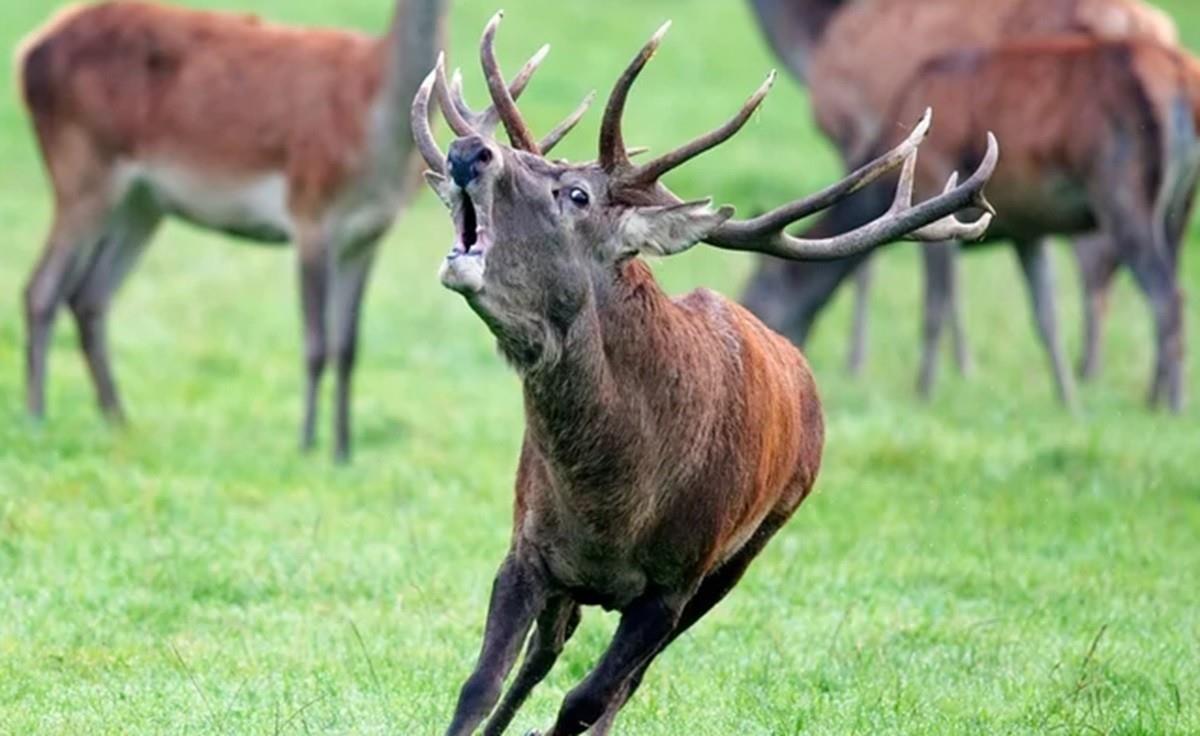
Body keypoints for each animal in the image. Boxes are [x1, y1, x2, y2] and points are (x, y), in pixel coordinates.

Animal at [17, 0, 530, 458]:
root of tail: (29, 51)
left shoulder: (367, 235)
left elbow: (348, 347)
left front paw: (343, 449)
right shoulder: (310, 213)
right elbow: (316, 344)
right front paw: (307, 443)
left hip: (141, 204)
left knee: (88, 295)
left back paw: (117, 419)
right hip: (82, 168)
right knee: (41, 288)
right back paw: (38, 416)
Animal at [412, 12, 993, 734]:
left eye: (575, 193)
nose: (470, 150)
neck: (615, 503)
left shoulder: (674, 584)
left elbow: (588, 700)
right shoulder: (529, 549)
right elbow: (480, 685)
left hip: (743, 557)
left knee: (619, 684)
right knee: (546, 651)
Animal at [744, 0, 1176, 401]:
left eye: (758, 293)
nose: (780, 354)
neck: (814, 38)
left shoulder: (859, 136)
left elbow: (900, 283)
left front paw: (900, 375)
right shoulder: (1024, 228)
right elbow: (1036, 307)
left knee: (1123, 276)